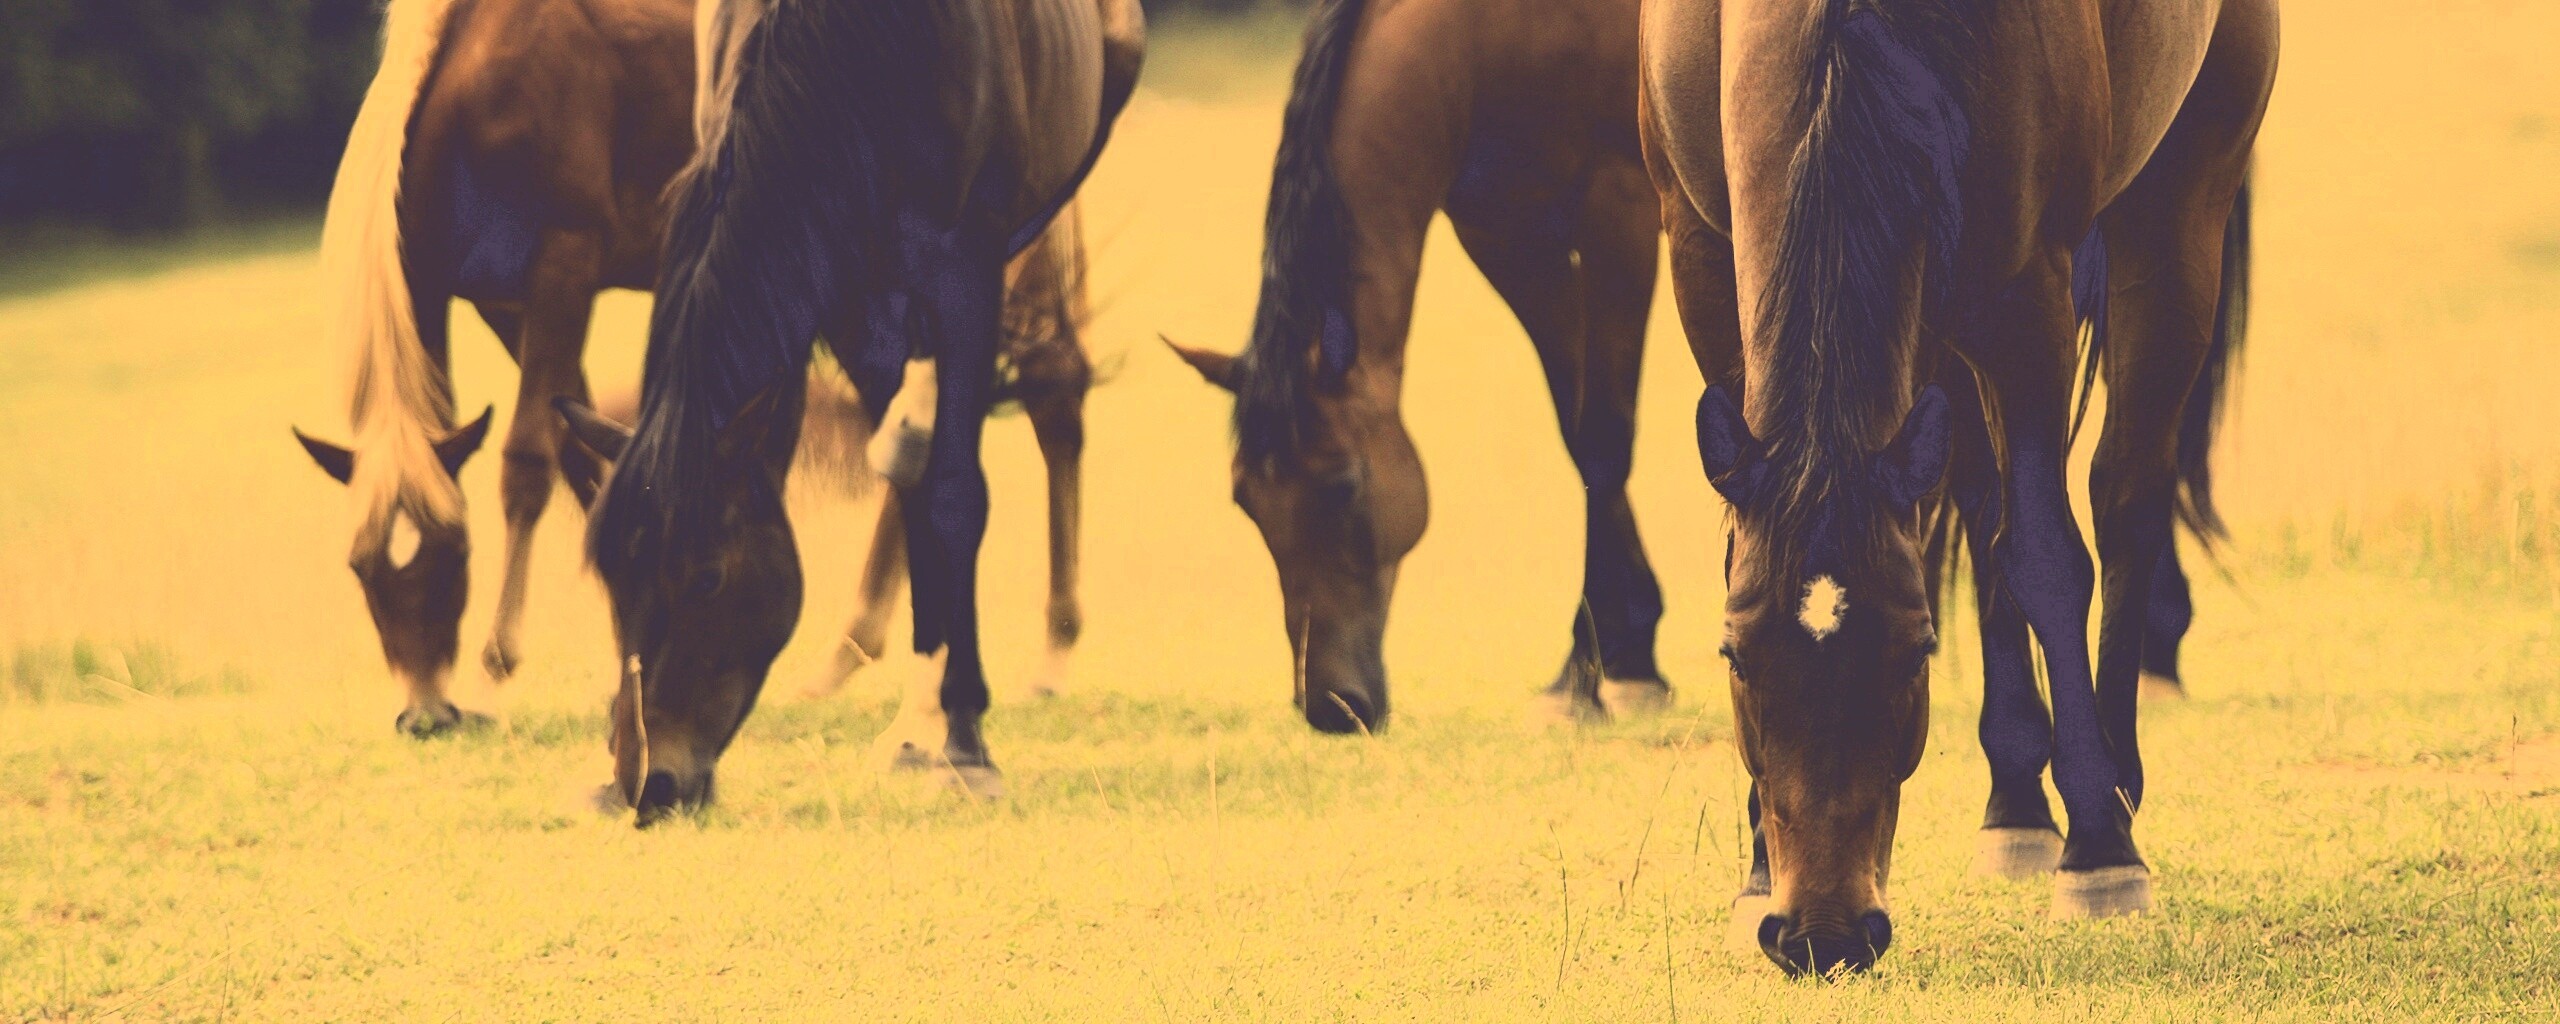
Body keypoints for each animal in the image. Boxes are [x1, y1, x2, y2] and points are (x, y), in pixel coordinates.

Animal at [292, 0, 1100, 736]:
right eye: (359, 568)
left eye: (454, 553)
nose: (424, 714)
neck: (472, 85)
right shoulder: (503, 302)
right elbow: (587, 460)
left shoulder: (563, 266)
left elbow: (527, 464)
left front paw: (496, 675)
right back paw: (853, 654)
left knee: (1051, 395)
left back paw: (1047, 655)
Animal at [555, 0, 1144, 823]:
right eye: (610, 575)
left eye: (707, 578)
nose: (647, 784)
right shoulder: (842, 286)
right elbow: (915, 477)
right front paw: (926, 722)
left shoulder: (963, 267)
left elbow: (954, 493)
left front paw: (962, 740)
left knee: (1051, 391)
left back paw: (1048, 652)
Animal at [1166, 0, 1668, 734]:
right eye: (1245, 501)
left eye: (1343, 488)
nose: (1331, 707)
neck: (1488, 38)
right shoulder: (1514, 239)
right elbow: (1577, 438)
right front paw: (1620, 655)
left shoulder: (1618, 212)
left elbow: (1604, 443)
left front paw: (1595, 677)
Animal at [1640, 0, 2274, 975]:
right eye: (1734, 657)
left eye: (1915, 653)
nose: (1823, 937)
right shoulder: (1702, 259)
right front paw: (1755, 869)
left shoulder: (2029, 293)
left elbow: (2048, 560)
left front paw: (2100, 852)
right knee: (1982, 499)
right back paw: (2016, 796)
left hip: (2181, 203)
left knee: (2123, 494)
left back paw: (2112, 790)